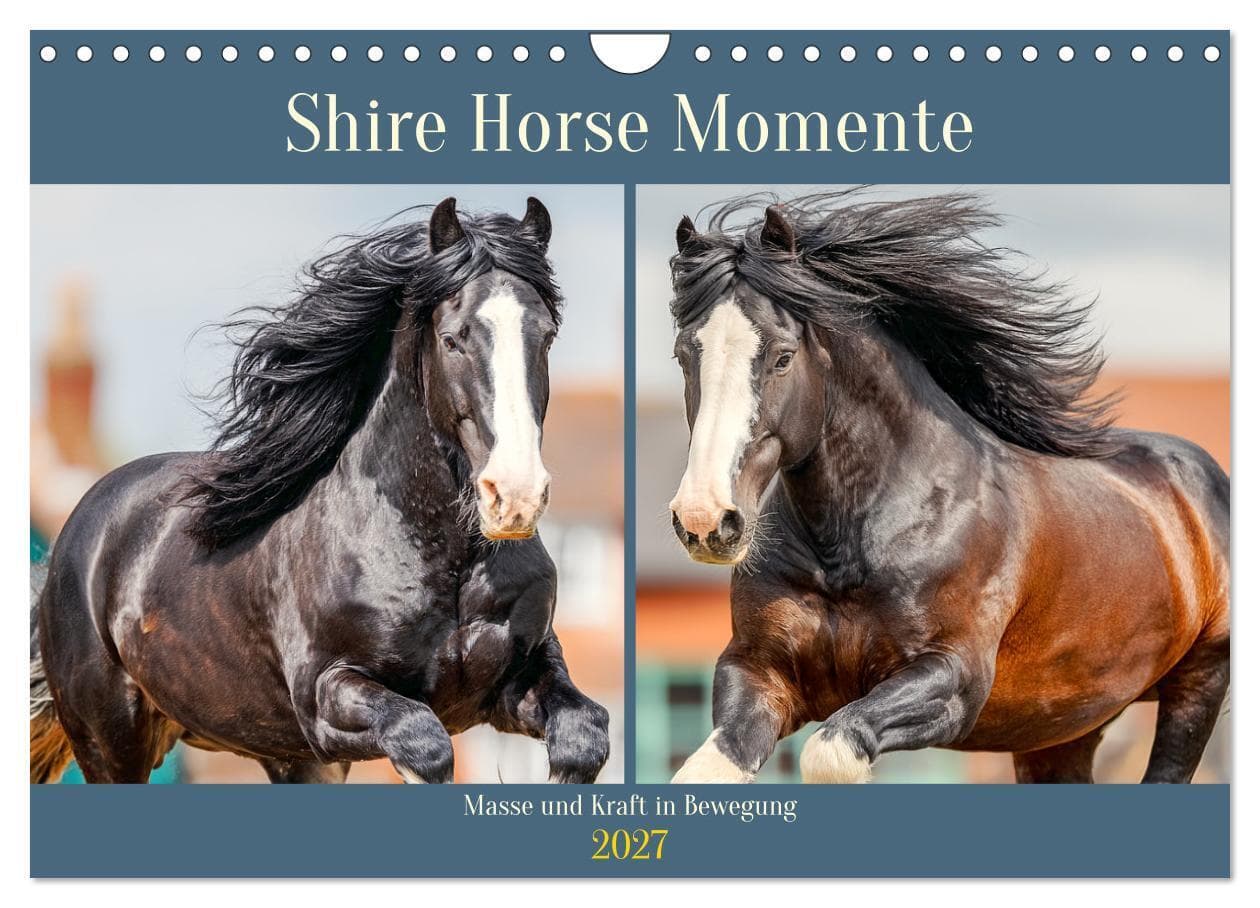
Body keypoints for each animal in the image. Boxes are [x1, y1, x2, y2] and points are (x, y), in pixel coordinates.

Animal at [30, 197, 610, 784]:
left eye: (546, 335)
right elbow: (425, 743)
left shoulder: (521, 677)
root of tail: (80, 527)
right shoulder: (327, 701)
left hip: (284, 755)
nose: (514, 497)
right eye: (452, 339)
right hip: (112, 741)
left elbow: (585, 737)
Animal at [664, 192, 1229, 784]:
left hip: (1199, 683)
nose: (705, 520)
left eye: (781, 356)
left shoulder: (952, 679)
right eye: (684, 354)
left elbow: (830, 755)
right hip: (1060, 727)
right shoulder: (758, 670)